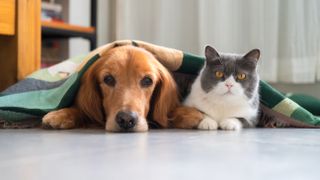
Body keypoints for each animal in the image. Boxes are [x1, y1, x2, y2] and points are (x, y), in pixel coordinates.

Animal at [42, 45, 202, 132]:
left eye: (147, 80)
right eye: (108, 79)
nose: (126, 119)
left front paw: (189, 114)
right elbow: (81, 110)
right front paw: (61, 114)